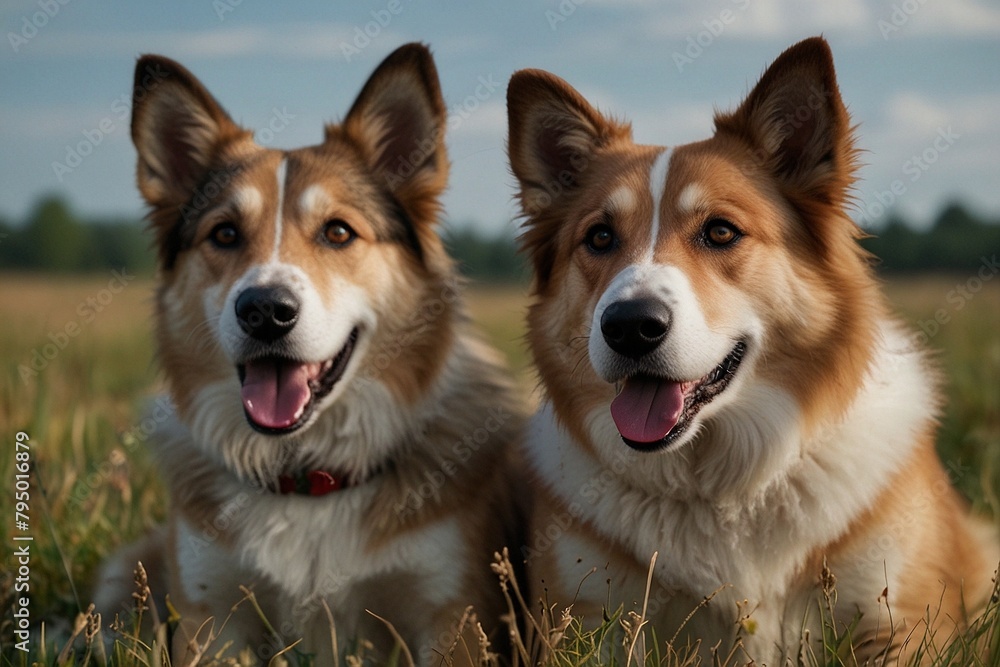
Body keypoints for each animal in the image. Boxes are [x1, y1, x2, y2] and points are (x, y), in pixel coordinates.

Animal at [97, 44, 528, 664]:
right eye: (224, 234)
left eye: (338, 232)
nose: (264, 311)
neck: (307, 477)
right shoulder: (211, 614)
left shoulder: (453, 615)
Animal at [512, 37, 996, 667]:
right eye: (599, 237)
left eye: (720, 232)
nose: (629, 327)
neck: (727, 488)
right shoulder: (588, 621)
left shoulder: (900, 622)